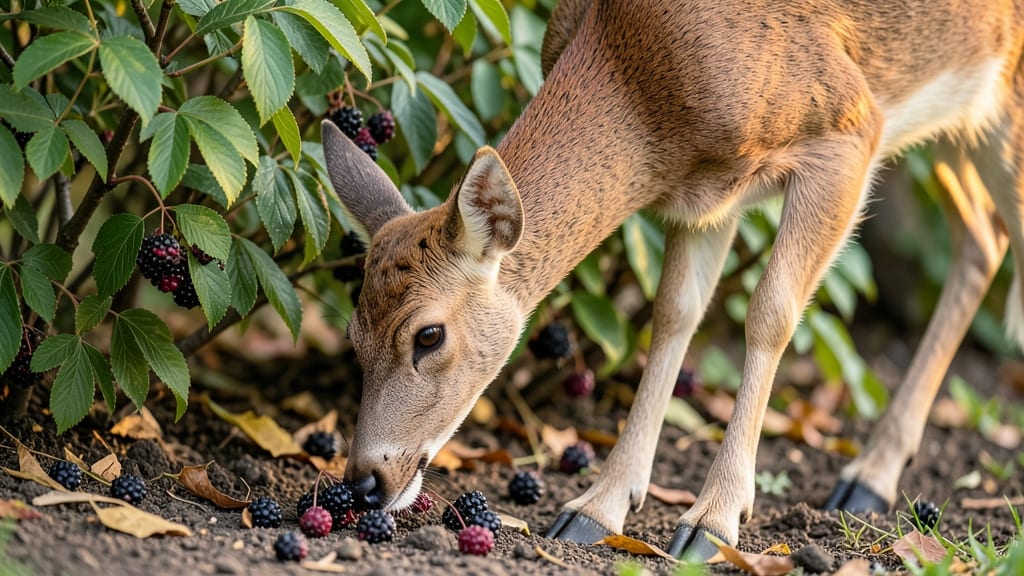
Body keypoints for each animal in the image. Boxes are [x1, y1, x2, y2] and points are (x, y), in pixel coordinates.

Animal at [321, 0, 1024, 561]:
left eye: (429, 335)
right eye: (353, 334)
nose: (364, 482)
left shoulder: (849, 125)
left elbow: (770, 312)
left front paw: (712, 524)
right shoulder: (705, 195)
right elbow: (673, 313)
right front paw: (594, 509)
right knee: (982, 239)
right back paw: (869, 477)